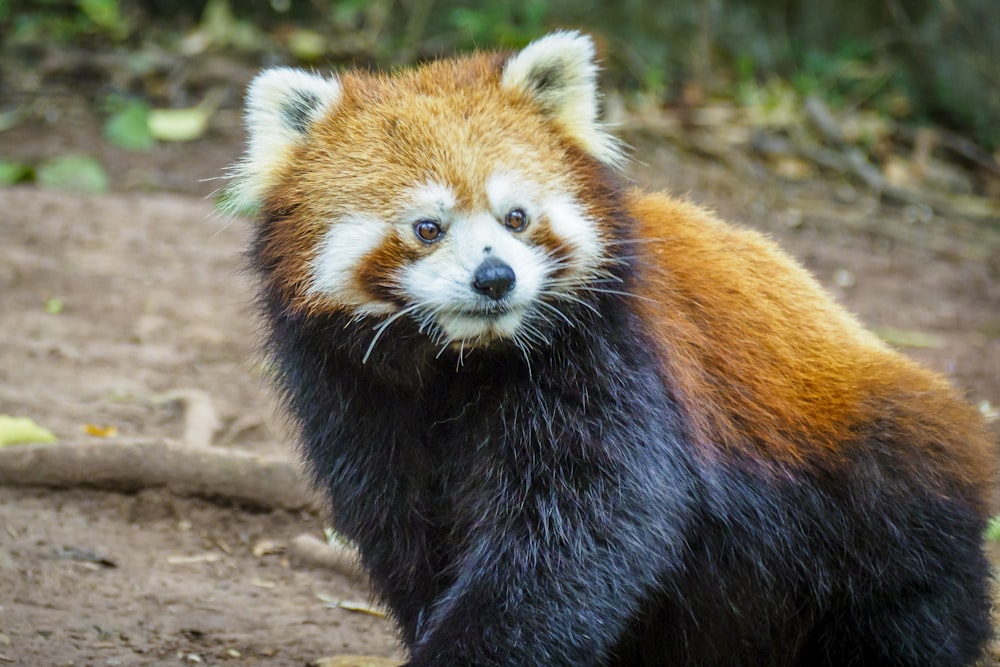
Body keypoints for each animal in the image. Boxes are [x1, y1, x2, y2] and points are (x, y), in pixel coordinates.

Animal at [232, 31, 992, 667]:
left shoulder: (612, 363)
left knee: (904, 613)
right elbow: (407, 534)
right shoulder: (357, 398)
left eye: (516, 217)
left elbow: (582, 538)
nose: (496, 278)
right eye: (427, 228)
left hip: (874, 504)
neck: (458, 363)